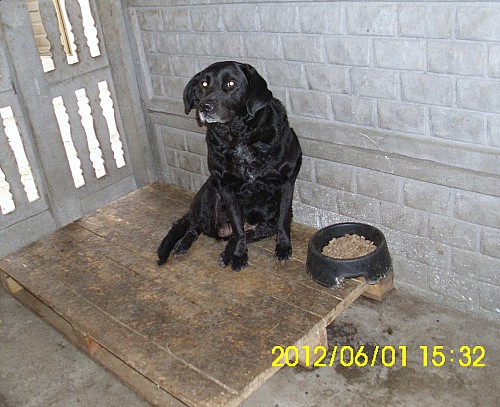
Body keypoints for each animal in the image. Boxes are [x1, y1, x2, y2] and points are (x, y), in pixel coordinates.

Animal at [157, 61, 302, 271]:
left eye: (231, 83)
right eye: (203, 84)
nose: (204, 106)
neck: (239, 135)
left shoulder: (287, 181)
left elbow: (283, 221)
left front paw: (283, 247)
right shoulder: (225, 186)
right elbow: (238, 227)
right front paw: (240, 255)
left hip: (267, 223)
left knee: (245, 233)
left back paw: (227, 252)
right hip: (208, 194)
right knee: (195, 227)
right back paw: (184, 244)